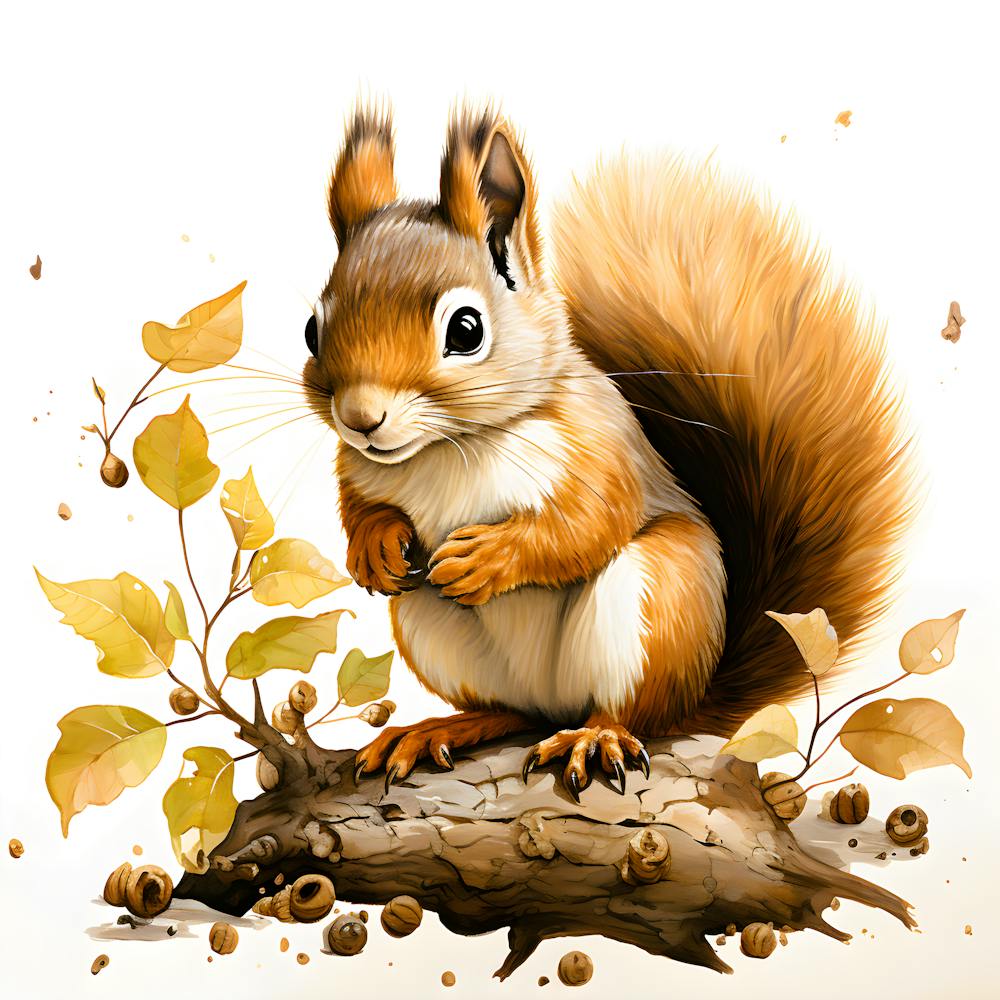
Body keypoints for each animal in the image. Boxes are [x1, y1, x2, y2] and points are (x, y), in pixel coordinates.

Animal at [302, 103, 915, 799]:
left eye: (465, 329)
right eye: (312, 329)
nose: (360, 419)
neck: (445, 447)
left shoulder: (600, 450)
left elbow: (587, 525)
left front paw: (489, 557)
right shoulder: (359, 471)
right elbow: (360, 509)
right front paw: (373, 549)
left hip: (655, 601)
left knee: (627, 711)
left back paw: (595, 737)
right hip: (433, 630)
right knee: (513, 712)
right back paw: (442, 727)